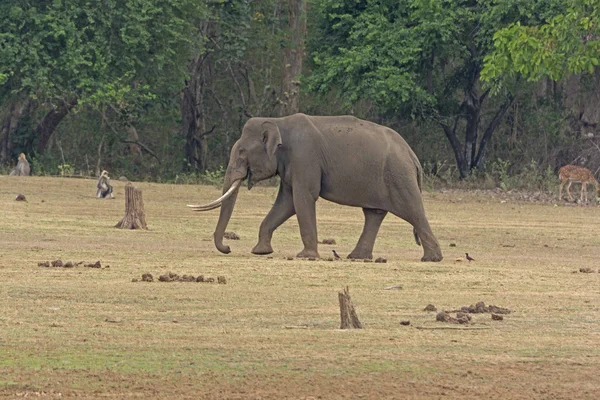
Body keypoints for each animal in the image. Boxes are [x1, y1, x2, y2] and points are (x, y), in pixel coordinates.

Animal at [190, 113, 442, 262]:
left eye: (242, 152)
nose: (227, 249)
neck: (279, 122)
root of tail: (411, 154)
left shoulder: (304, 157)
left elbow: (303, 199)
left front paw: (306, 256)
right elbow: (286, 203)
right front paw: (261, 251)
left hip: (399, 176)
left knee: (413, 211)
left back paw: (431, 259)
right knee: (374, 213)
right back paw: (357, 257)